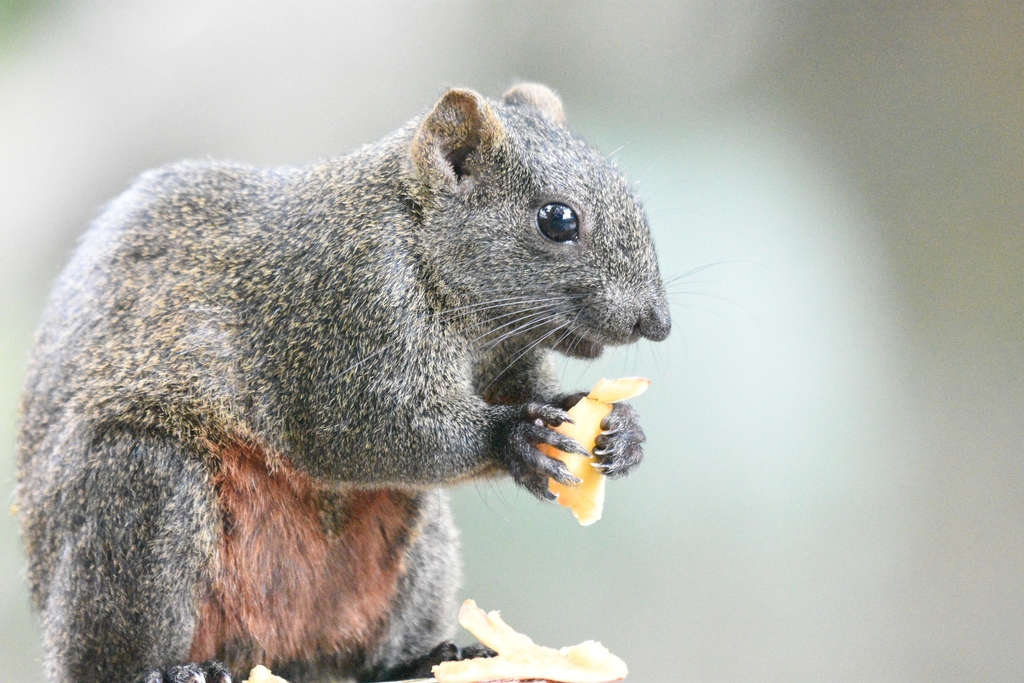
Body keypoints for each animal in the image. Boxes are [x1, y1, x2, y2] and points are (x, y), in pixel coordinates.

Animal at [15, 83, 671, 683]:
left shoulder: (510, 353)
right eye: (557, 220)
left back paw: (424, 659)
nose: (658, 323)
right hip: (143, 491)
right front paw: (512, 438)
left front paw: (622, 432)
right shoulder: (348, 316)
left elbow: (529, 395)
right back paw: (172, 671)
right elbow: (371, 431)